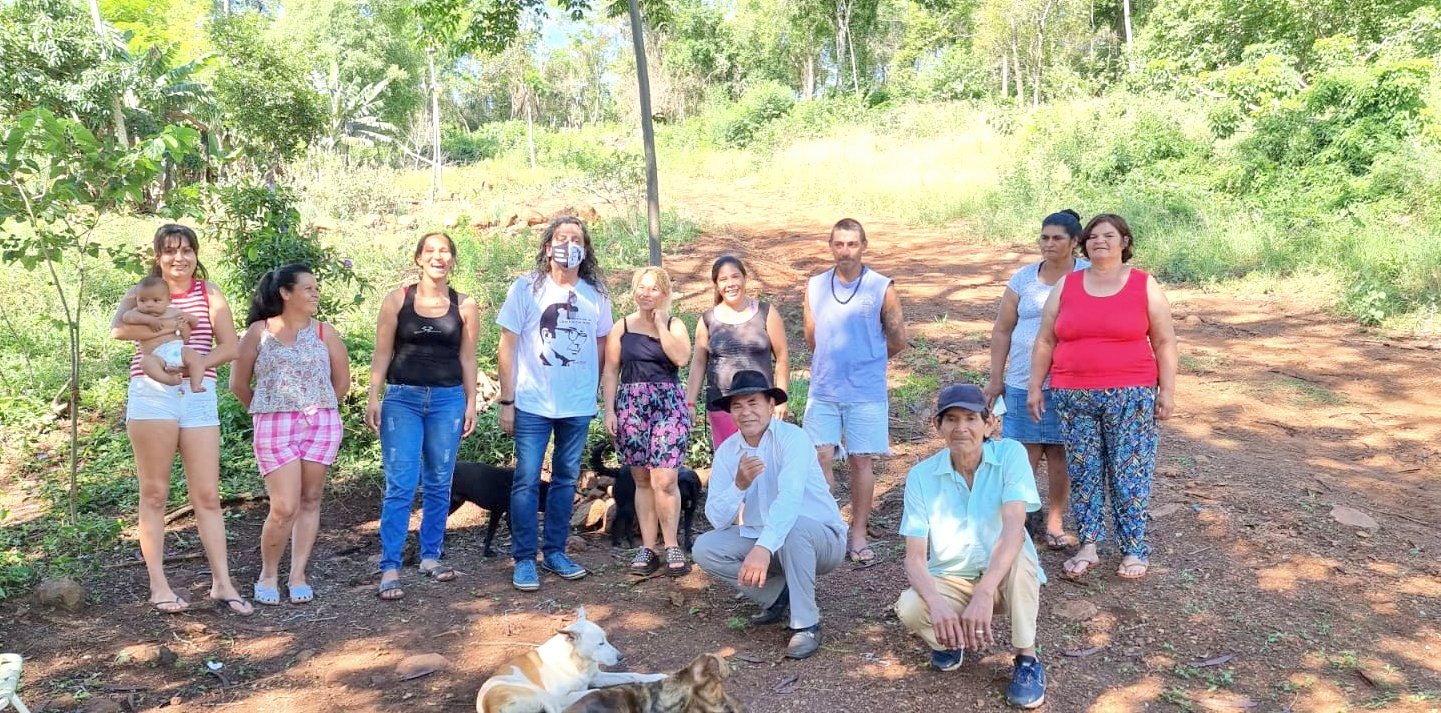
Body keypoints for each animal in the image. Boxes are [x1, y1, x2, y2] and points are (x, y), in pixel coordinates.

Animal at [478, 607, 668, 713]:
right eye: (600, 643)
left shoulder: (596, 677)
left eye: (606, 639)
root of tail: (488, 705)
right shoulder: (563, 694)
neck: (577, 661)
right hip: (541, 695)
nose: (621, 657)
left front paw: (656, 676)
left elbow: (632, 674)